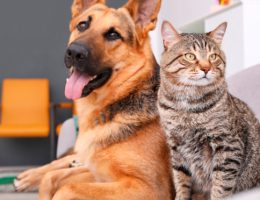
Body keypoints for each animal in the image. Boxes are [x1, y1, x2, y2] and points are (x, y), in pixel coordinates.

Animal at [13, 0, 173, 199]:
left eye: (113, 34)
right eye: (82, 25)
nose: (74, 52)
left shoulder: (149, 188)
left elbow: (66, 188)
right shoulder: (99, 173)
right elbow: (50, 179)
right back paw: (27, 177)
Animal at [157, 21, 260, 199]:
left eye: (213, 57)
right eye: (190, 56)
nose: (206, 68)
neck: (187, 106)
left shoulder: (228, 144)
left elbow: (221, 185)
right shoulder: (176, 148)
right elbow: (181, 180)